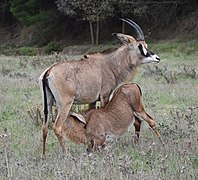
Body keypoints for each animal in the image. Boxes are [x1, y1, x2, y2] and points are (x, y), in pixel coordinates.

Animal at [39, 18, 161, 159]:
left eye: (145, 44)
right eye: (139, 46)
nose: (157, 58)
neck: (110, 64)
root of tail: (49, 71)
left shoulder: (92, 100)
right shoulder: (104, 96)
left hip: (48, 103)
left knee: (44, 127)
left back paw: (44, 156)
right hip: (65, 104)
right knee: (57, 127)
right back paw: (66, 154)